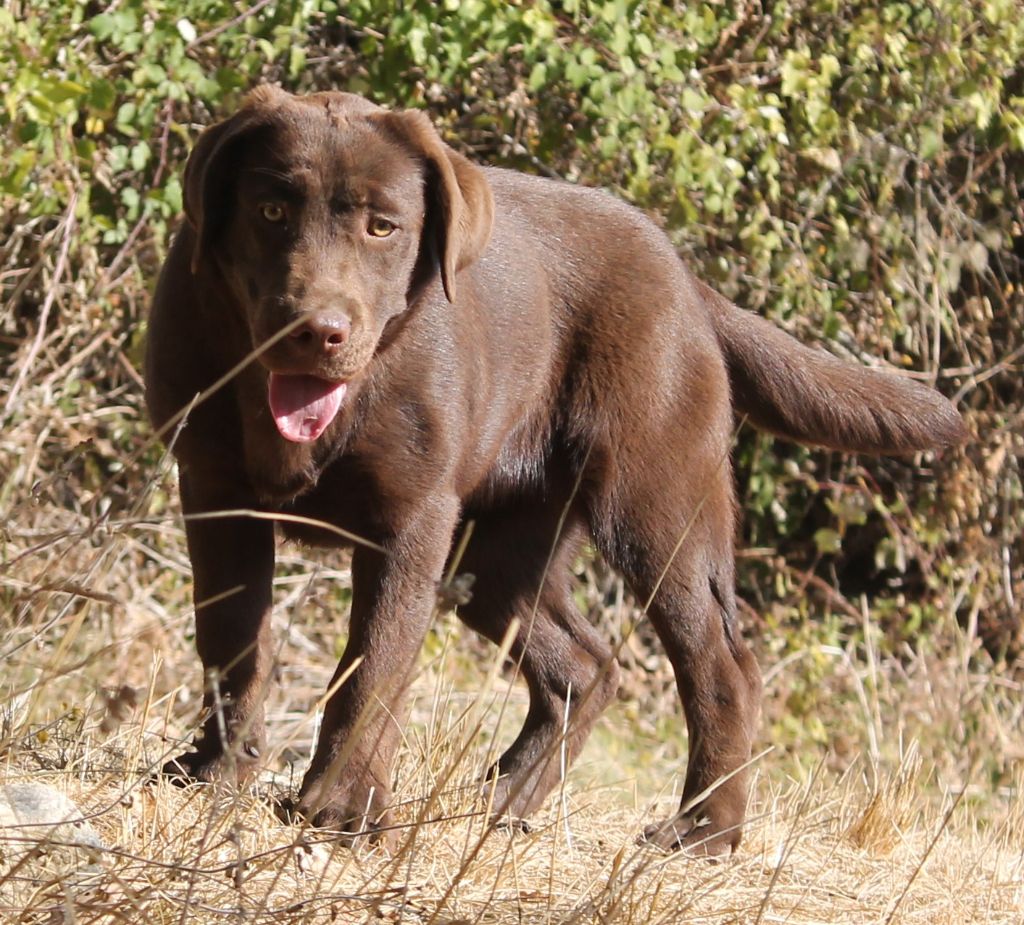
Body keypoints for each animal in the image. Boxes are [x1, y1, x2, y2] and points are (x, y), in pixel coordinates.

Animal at [146, 85, 966, 852]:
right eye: (271, 210)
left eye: (383, 226)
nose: (317, 330)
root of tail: (685, 279)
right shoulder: (214, 492)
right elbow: (233, 642)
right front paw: (217, 772)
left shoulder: (411, 519)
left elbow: (375, 665)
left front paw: (342, 810)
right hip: (500, 551)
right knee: (585, 666)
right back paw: (502, 800)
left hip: (657, 504)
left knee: (721, 665)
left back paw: (703, 832)